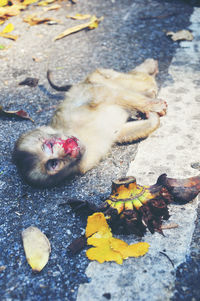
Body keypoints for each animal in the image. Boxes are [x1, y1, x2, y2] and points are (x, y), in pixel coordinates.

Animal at [12, 57, 167, 186]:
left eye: (50, 145)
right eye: (54, 164)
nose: (69, 151)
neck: (80, 135)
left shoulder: (72, 116)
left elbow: (103, 94)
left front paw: (151, 106)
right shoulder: (86, 162)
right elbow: (120, 133)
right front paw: (151, 118)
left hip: (98, 77)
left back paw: (148, 70)